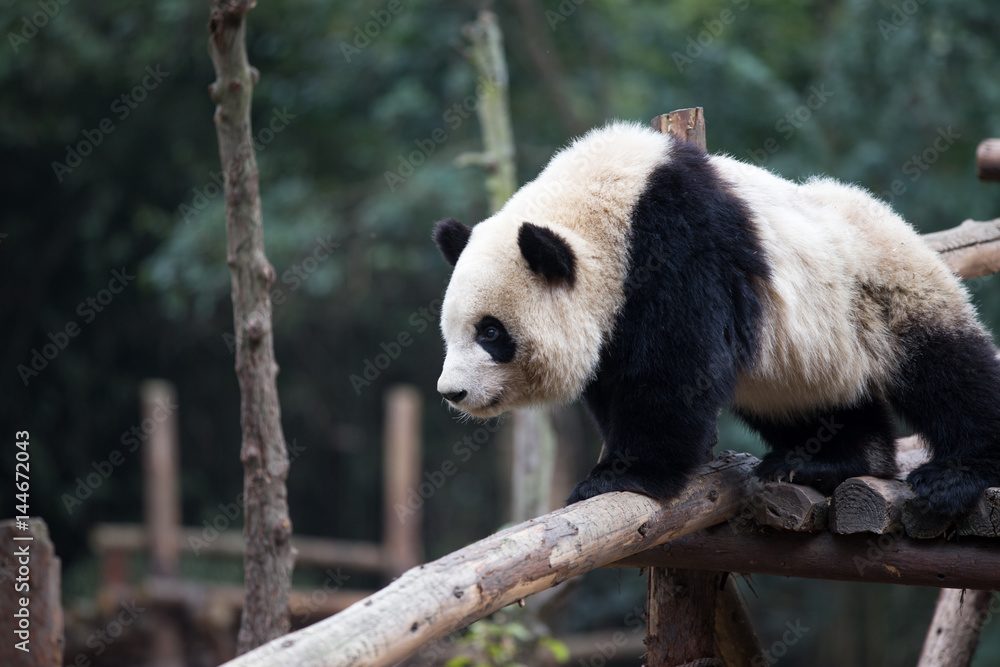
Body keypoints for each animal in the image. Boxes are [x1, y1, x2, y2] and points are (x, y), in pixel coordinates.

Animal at [430, 121, 1000, 520]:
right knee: (819, 404)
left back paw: (954, 475)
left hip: (883, 289)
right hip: (813, 356)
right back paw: (829, 459)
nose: (452, 392)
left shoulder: (677, 248)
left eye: (491, 332)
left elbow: (678, 367)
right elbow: (618, 378)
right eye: (450, 331)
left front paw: (621, 476)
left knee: (950, 371)